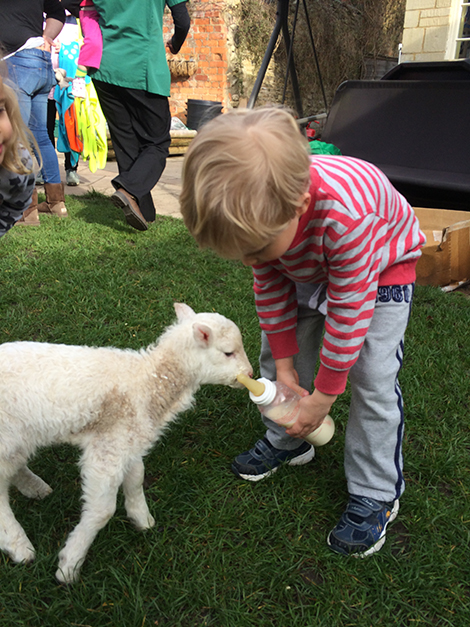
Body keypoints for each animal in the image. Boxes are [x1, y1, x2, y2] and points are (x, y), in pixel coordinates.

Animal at [0, 302, 253, 584]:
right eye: (228, 352)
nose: (250, 374)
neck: (147, 383)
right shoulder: (108, 447)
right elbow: (102, 510)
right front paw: (69, 564)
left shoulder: (128, 439)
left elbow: (136, 478)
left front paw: (141, 518)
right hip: (7, 435)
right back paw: (19, 545)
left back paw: (34, 488)